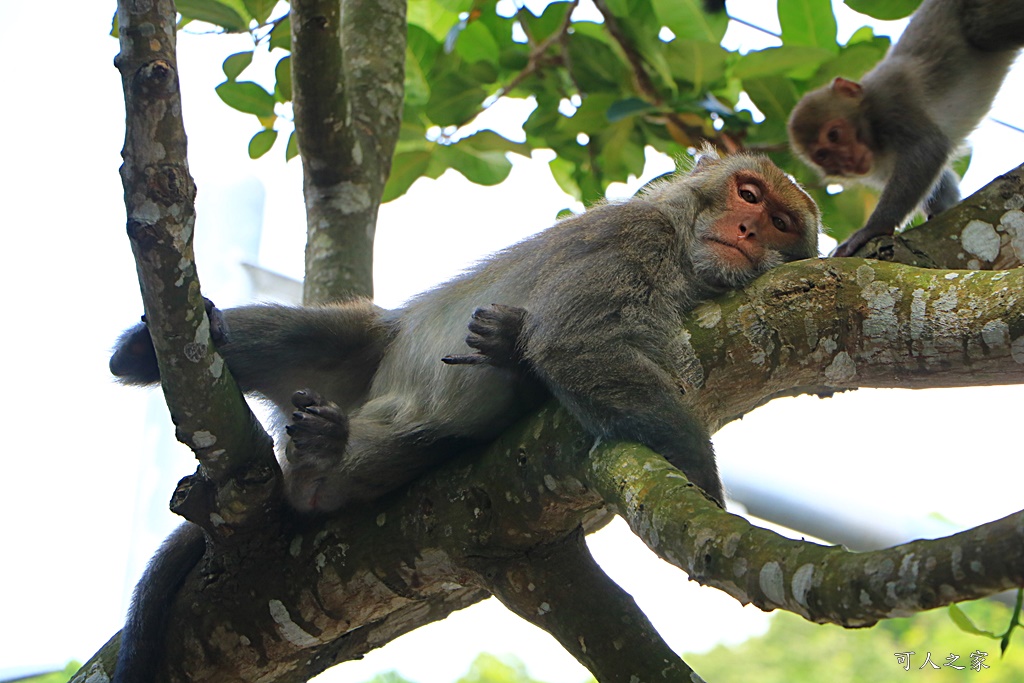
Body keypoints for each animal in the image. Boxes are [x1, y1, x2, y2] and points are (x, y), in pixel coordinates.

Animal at [108, 149, 819, 683]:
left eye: (782, 223)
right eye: (749, 196)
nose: (750, 232)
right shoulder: (633, 242)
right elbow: (578, 343)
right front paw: (704, 483)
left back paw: (320, 473)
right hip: (364, 348)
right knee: (321, 335)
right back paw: (153, 351)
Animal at [786, 0, 1019, 255]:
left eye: (834, 135)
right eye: (824, 156)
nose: (847, 161)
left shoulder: (892, 99)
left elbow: (927, 147)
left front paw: (874, 227)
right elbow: (942, 181)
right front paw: (942, 209)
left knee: (981, 30)